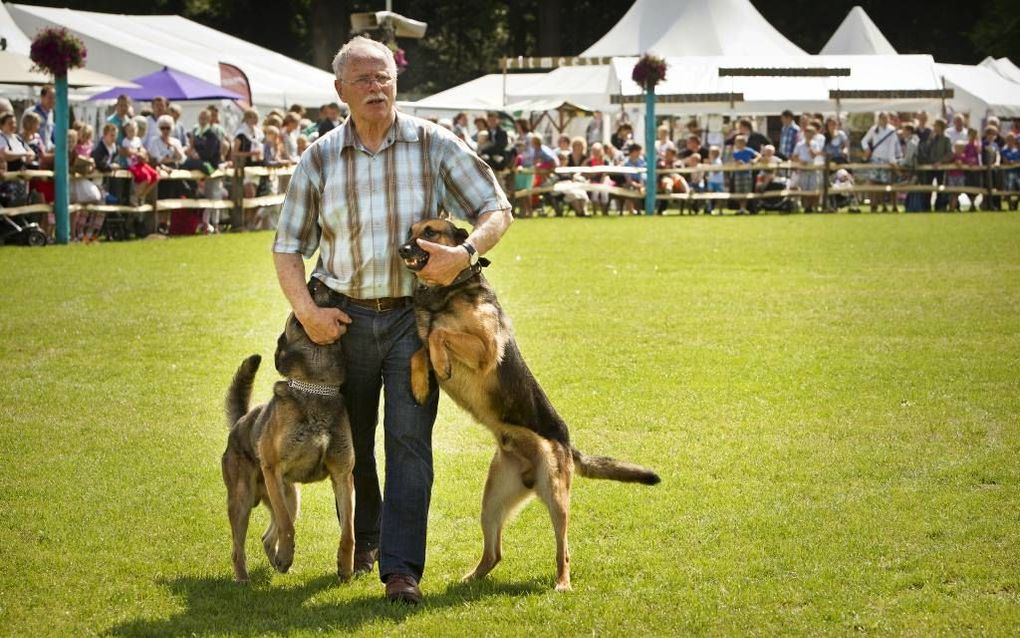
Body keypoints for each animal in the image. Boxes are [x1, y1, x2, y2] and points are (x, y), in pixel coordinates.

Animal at [219, 310, 354, 583]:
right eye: (295, 318)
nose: (315, 292)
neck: (317, 389)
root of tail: (240, 422)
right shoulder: (273, 470)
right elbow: (286, 527)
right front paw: (287, 554)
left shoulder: (343, 477)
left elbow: (348, 532)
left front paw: (345, 568)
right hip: (242, 501)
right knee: (239, 548)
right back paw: (244, 578)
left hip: (292, 498)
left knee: (266, 537)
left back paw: (280, 564)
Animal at [397, 218, 660, 592]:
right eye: (411, 231)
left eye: (430, 232)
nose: (401, 248)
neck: (447, 292)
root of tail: (567, 444)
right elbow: (419, 351)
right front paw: (421, 384)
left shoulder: (486, 349)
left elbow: (437, 335)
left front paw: (441, 363)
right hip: (491, 501)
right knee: (495, 553)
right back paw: (469, 579)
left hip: (555, 495)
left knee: (564, 549)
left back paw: (562, 583)